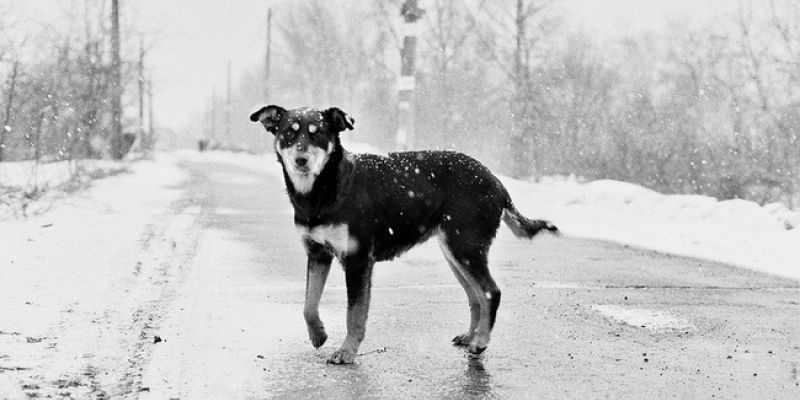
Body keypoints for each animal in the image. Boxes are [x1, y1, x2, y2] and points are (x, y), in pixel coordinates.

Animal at [250, 104, 556, 364]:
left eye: (319, 134)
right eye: (288, 133)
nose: (301, 159)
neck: (326, 188)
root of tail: (498, 183)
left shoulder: (358, 259)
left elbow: (354, 314)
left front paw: (347, 351)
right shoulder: (317, 253)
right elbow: (308, 304)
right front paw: (319, 334)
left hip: (465, 247)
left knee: (491, 292)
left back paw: (480, 341)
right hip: (455, 253)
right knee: (475, 296)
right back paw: (471, 336)